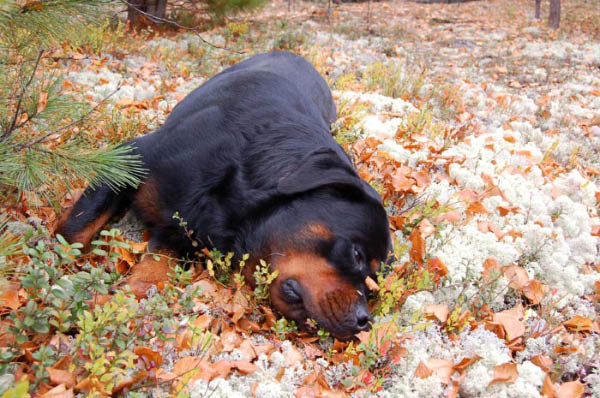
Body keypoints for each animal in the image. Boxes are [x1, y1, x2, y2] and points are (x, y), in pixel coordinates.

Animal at [56, 51, 392, 340]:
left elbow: (152, 272)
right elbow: (74, 232)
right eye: (357, 255)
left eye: (372, 286)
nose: (365, 320)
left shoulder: (183, 232)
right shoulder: (130, 157)